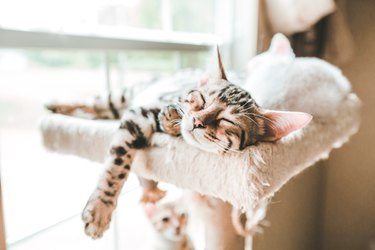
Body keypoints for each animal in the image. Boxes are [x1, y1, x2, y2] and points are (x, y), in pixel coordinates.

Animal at [47, 47, 312, 238]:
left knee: (96, 111)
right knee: (93, 102)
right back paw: (56, 105)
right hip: (119, 98)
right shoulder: (139, 114)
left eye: (226, 120)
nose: (197, 121)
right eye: (202, 99)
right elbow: (117, 166)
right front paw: (101, 208)